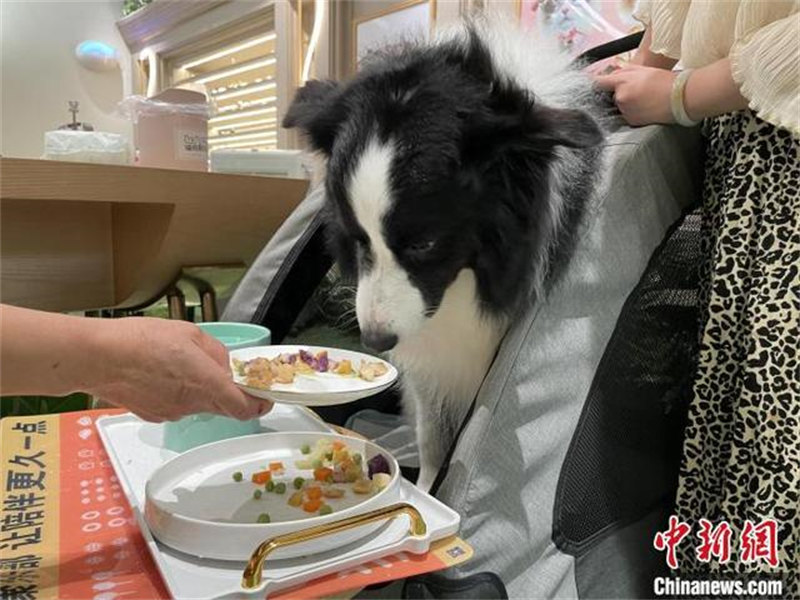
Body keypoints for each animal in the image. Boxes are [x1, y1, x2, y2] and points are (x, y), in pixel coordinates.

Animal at [284, 18, 604, 490]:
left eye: (423, 244)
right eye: (358, 239)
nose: (375, 341)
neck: (465, 282)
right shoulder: (430, 366)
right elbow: (433, 437)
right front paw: (425, 487)